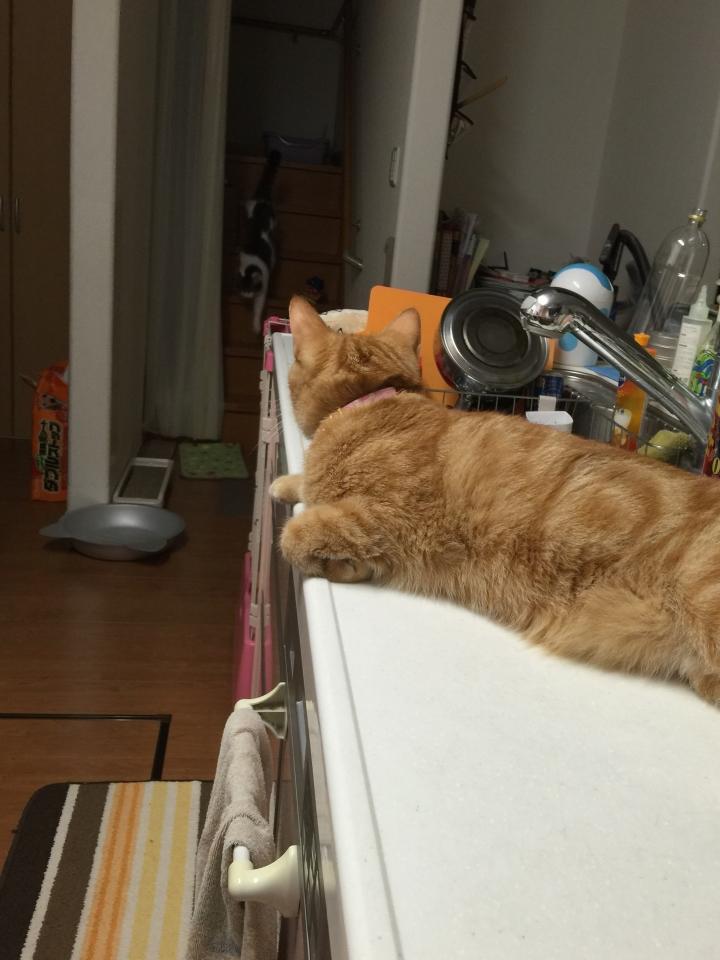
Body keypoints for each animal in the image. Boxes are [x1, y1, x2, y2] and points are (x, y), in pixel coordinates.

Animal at [235, 151, 281, 333]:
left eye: (250, 289)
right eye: (242, 288)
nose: (246, 296)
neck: (250, 265)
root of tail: (261, 200)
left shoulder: (263, 288)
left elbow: (258, 309)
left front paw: (255, 326)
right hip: (250, 207)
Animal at [270, 296, 720, 706]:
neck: (371, 404)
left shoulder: (383, 519)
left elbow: (294, 535)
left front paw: (337, 561)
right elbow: (307, 484)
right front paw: (287, 483)